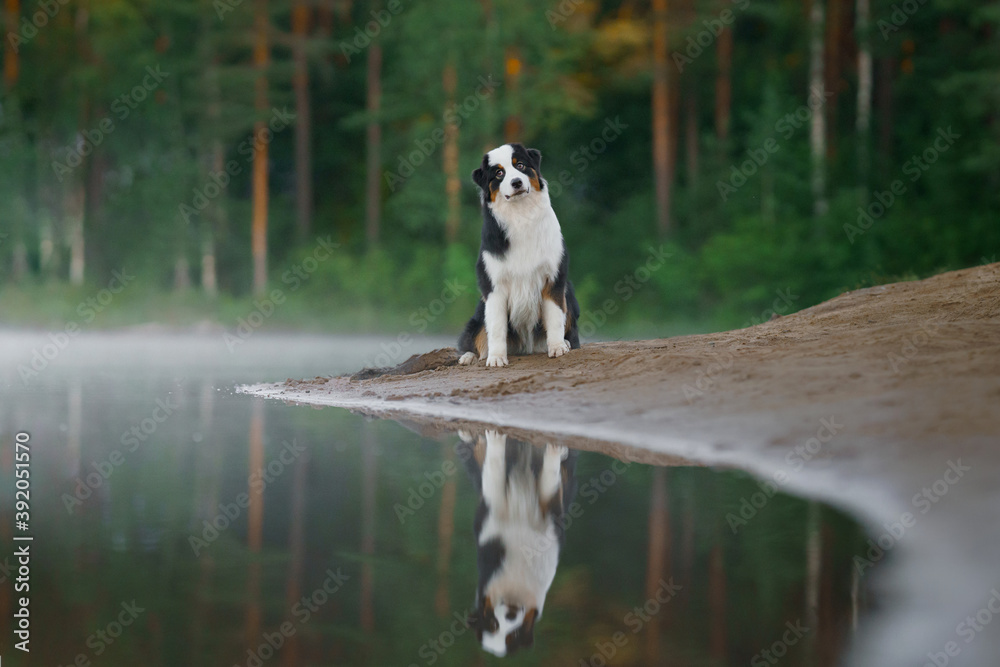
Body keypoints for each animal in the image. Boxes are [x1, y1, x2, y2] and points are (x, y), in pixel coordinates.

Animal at [458, 143, 584, 368]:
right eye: (499, 173)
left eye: (521, 165)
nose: (516, 182)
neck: (521, 215)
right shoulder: (494, 286)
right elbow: (496, 328)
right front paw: (496, 358)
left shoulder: (554, 277)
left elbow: (555, 315)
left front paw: (557, 347)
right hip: (480, 309)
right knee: (474, 337)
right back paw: (468, 357)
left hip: (568, 290)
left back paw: (568, 343)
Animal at [458, 434, 580, 656]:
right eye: (493, 624)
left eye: (513, 636)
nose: (511, 615)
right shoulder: (494, 512)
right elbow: (493, 469)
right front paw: (495, 438)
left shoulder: (549, 520)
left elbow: (550, 478)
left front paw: (555, 450)